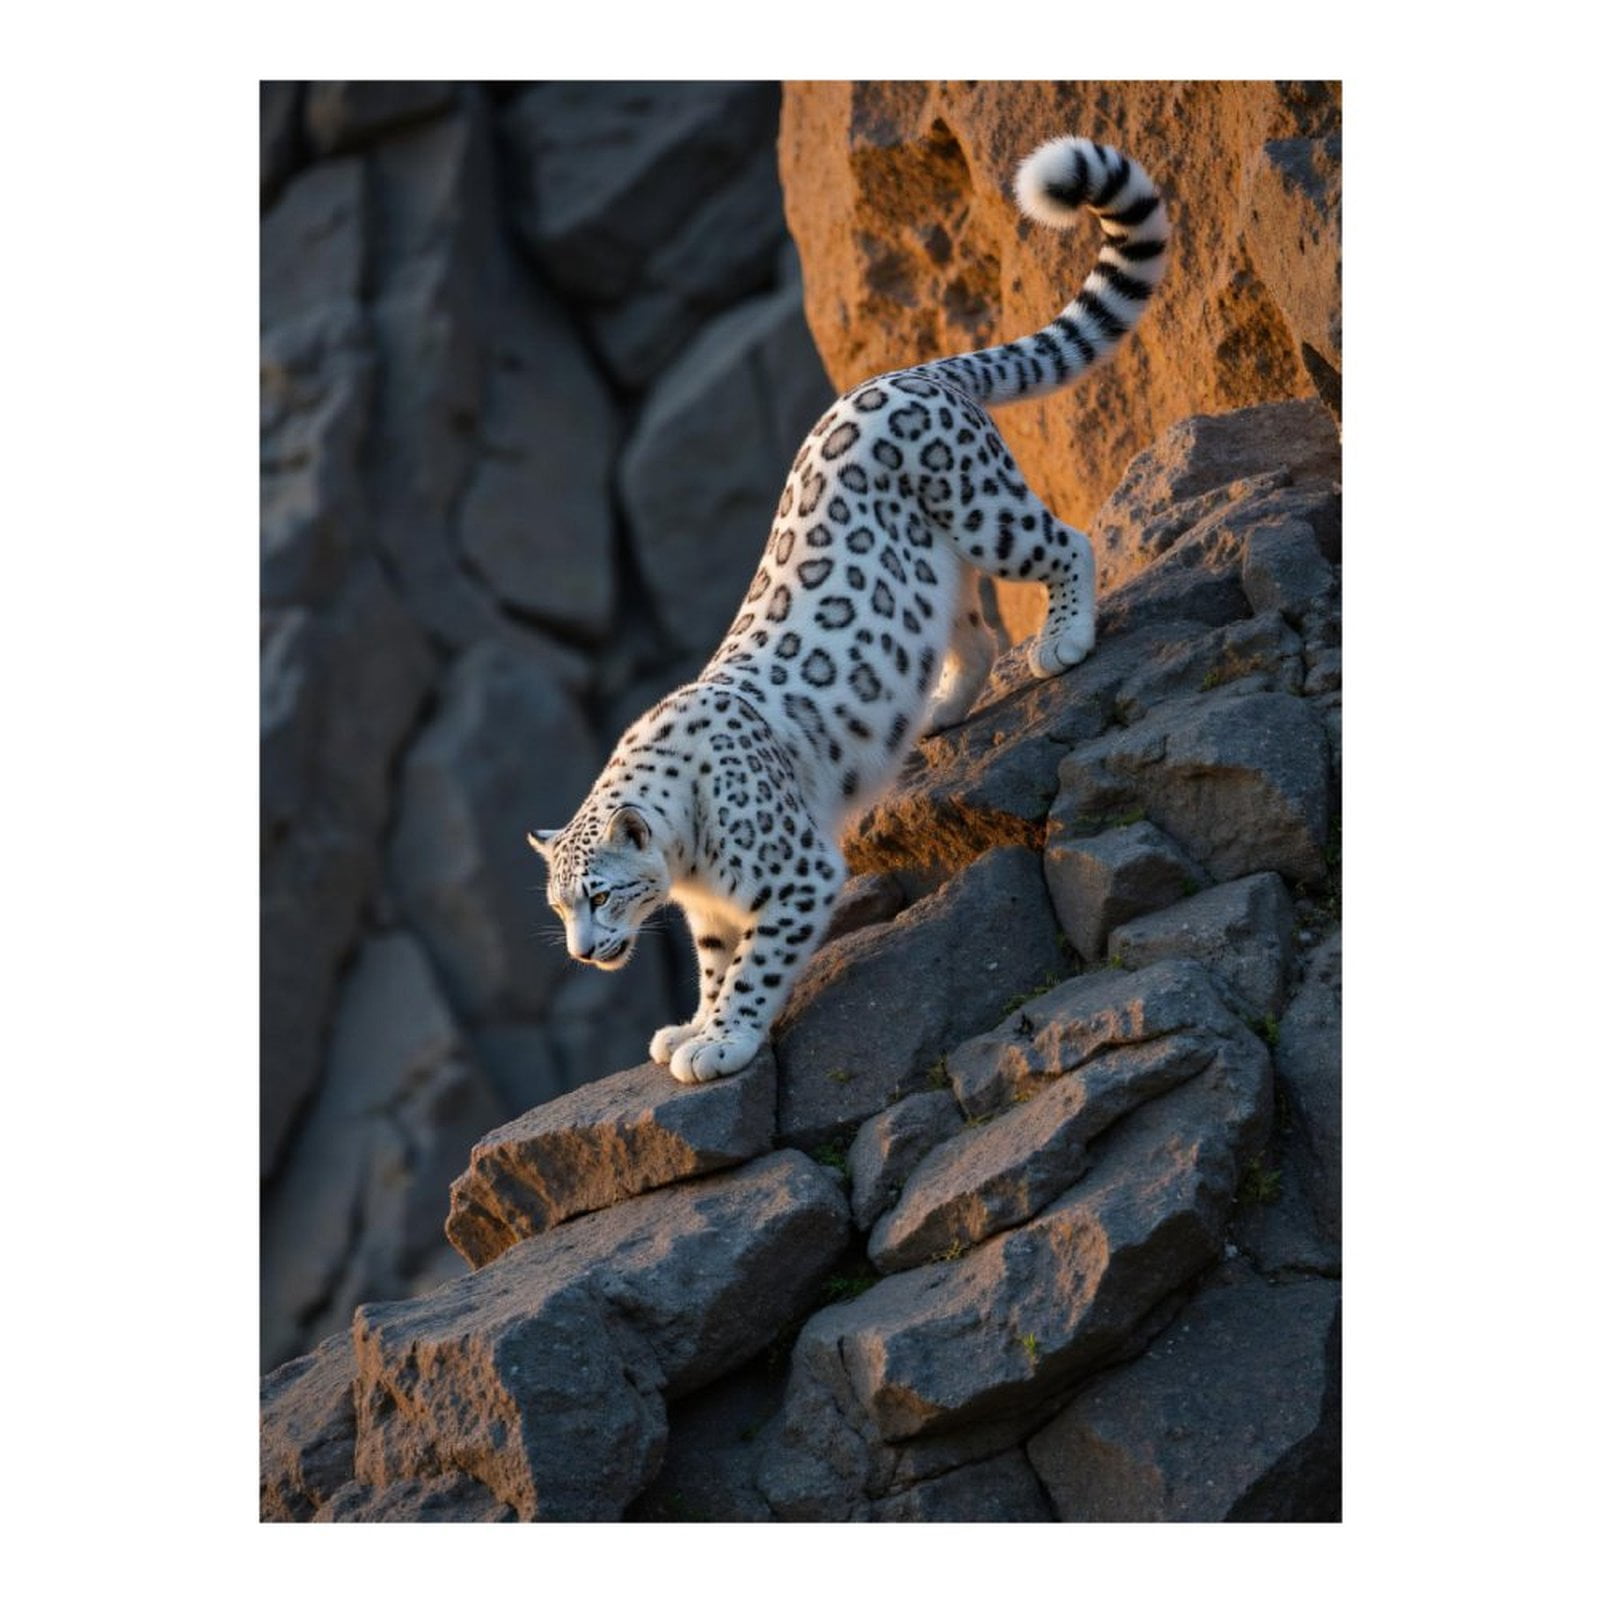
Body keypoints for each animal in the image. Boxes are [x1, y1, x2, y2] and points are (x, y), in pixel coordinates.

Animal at [529, 134, 1170, 1085]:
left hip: (983, 508)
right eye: (557, 903)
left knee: (1066, 542)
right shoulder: (711, 914)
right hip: (934, 578)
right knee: (972, 630)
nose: (580, 950)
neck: (689, 868)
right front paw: (691, 1027)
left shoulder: (792, 874)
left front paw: (722, 1042)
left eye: (600, 893)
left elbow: (755, 968)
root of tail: (908, 373)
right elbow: (717, 966)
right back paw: (938, 710)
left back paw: (1064, 640)